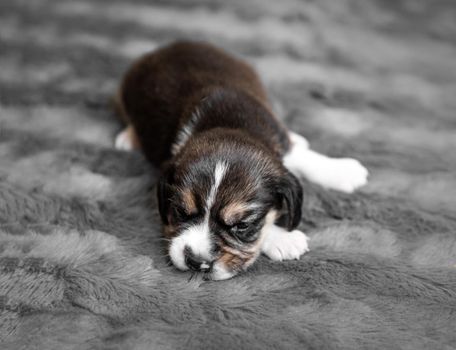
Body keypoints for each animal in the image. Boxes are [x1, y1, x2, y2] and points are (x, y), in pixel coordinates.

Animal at [114, 41, 366, 280]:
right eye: (180, 212)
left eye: (241, 225)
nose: (196, 262)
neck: (228, 124)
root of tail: (168, 47)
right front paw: (283, 239)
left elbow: (303, 158)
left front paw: (343, 171)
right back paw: (127, 137)